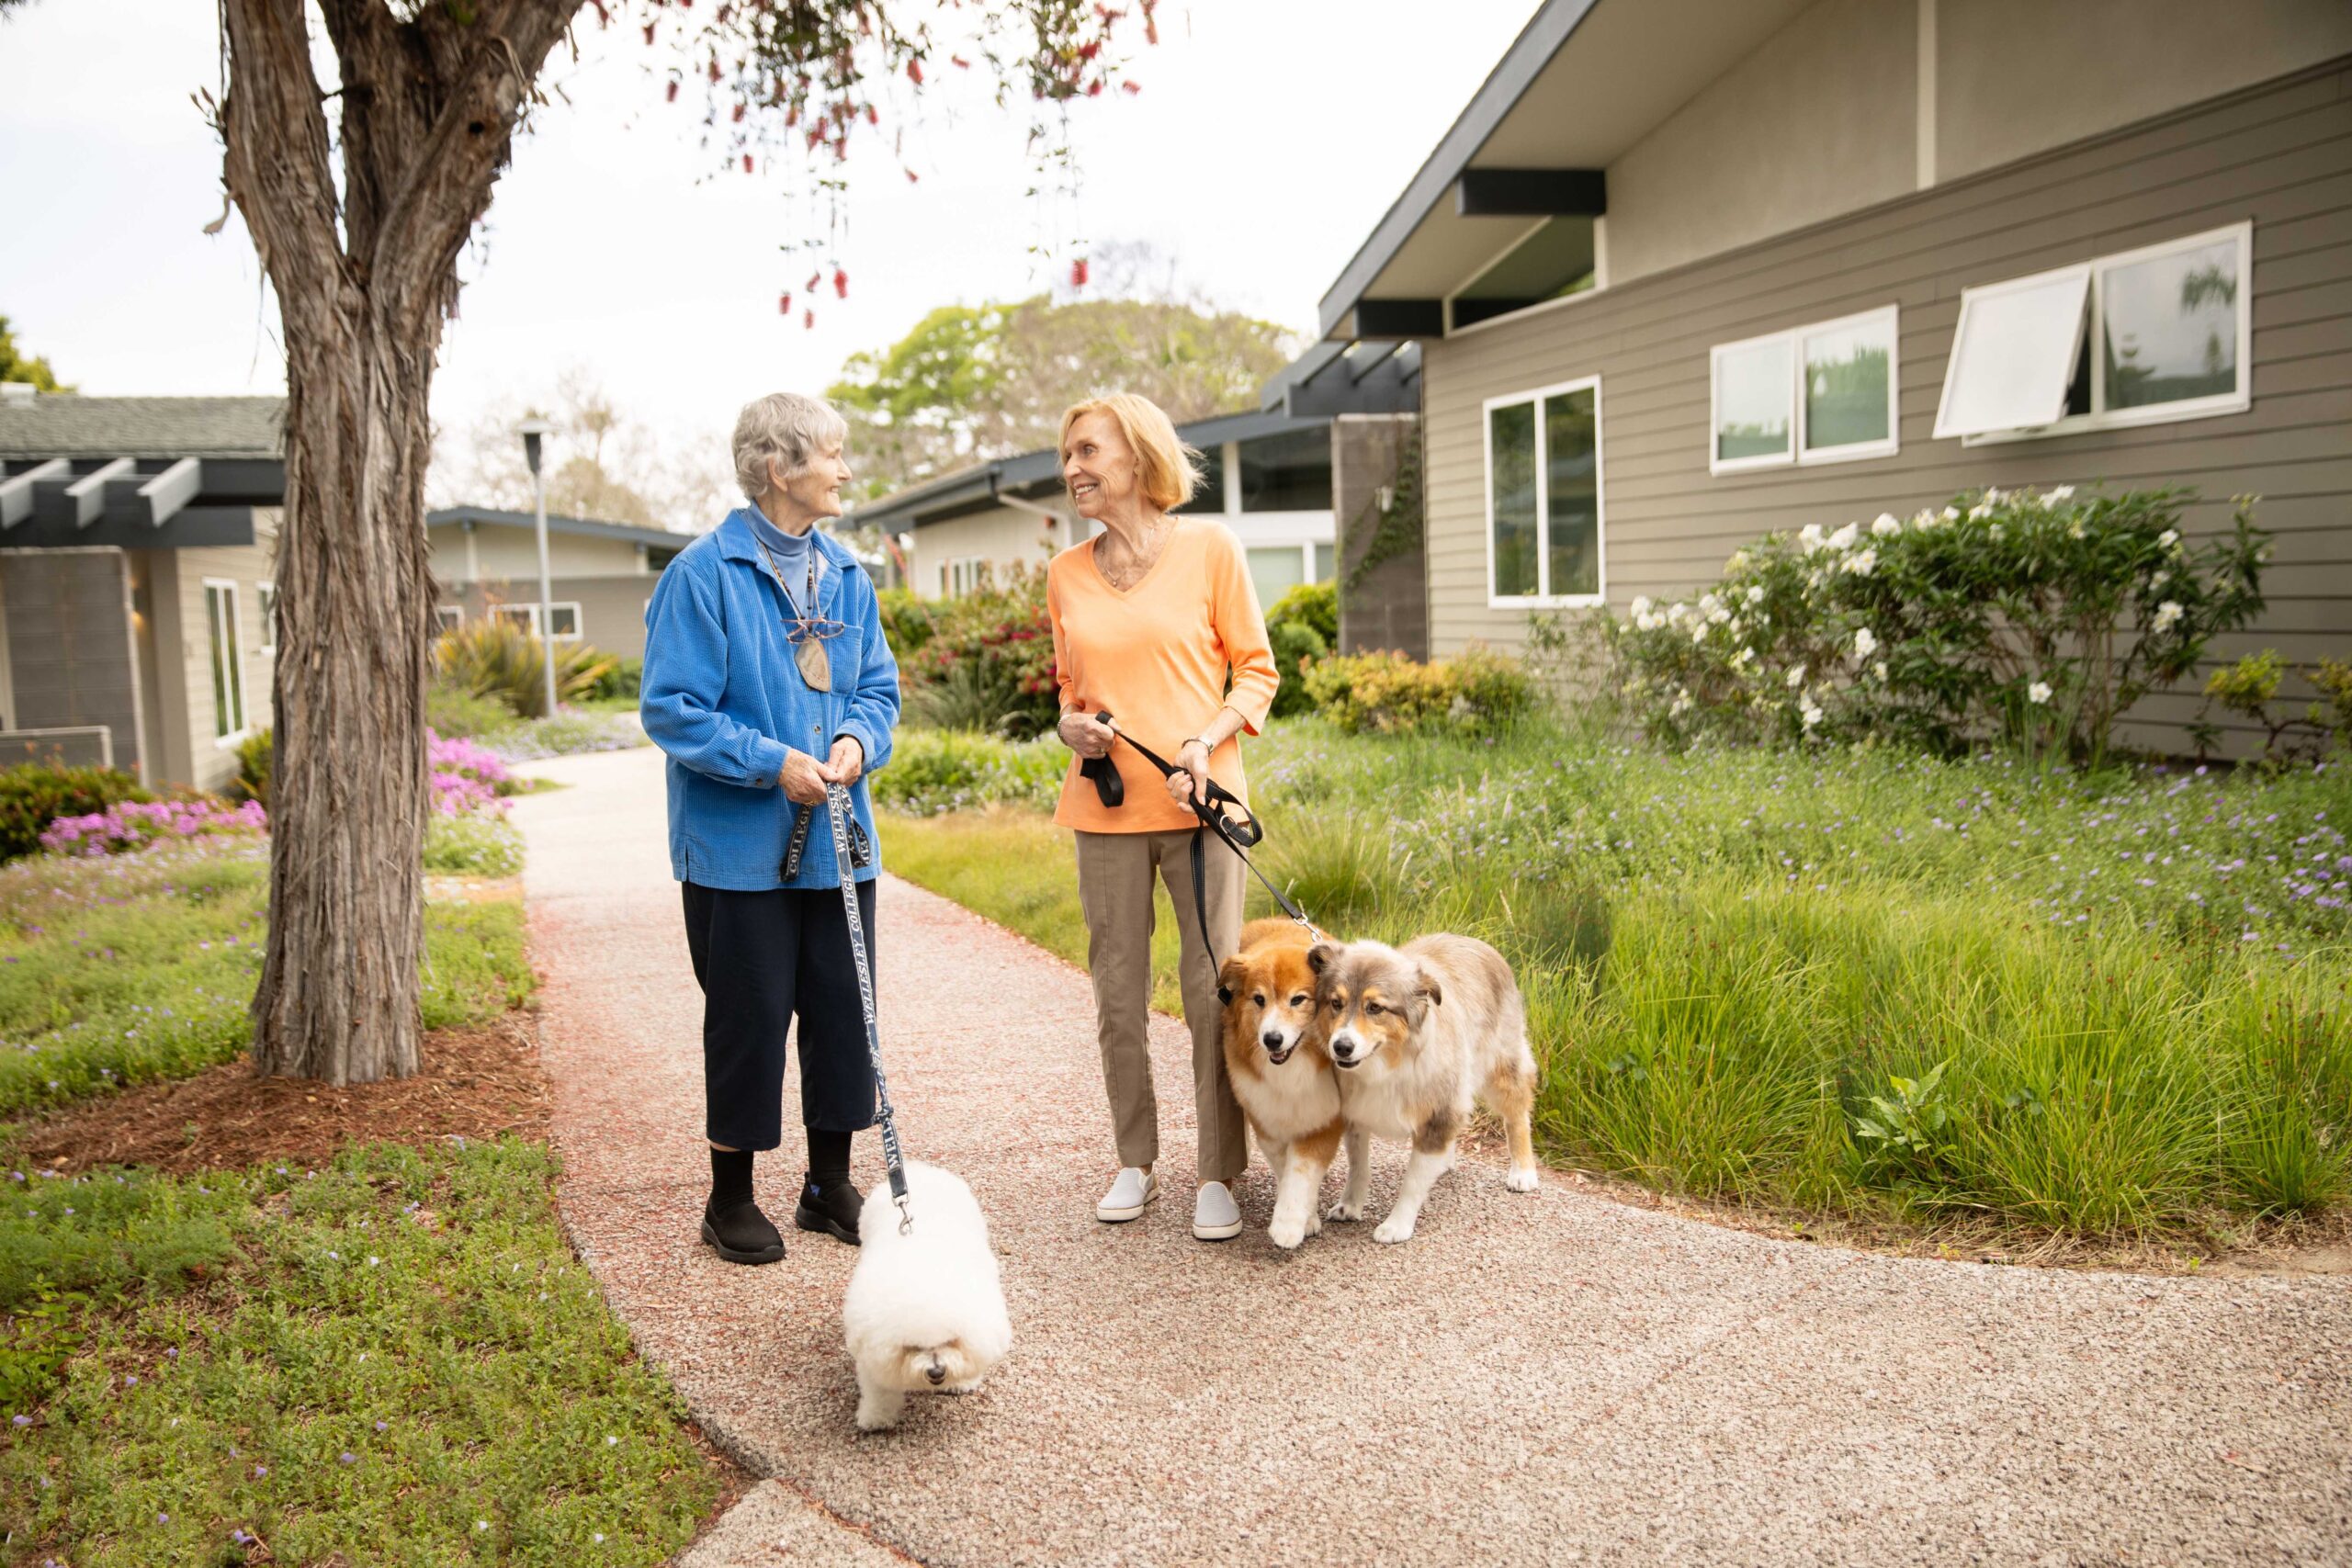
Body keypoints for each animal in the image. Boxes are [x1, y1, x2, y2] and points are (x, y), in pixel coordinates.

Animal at [842, 1166, 1006, 1438]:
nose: (936, 1371)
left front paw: (962, 1380)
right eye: (912, 1346)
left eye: (951, 1341)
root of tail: (918, 1167)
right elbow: (879, 1390)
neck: (924, 1268)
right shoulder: (873, 1352)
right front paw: (876, 1418)